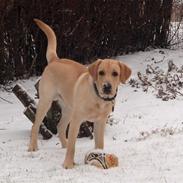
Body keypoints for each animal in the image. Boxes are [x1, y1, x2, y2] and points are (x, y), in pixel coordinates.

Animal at [28, 19, 132, 169]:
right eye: (101, 73)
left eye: (115, 73)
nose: (107, 87)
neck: (98, 98)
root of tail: (55, 59)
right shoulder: (77, 121)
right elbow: (73, 146)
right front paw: (68, 164)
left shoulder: (100, 122)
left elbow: (100, 144)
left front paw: (99, 155)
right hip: (46, 102)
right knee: (35, 126)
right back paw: (33, 147)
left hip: (68, 108)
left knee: (60, 127)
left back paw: (64, 145)